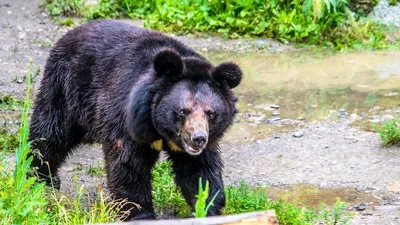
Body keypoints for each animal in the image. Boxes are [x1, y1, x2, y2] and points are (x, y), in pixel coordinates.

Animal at [28, 19, 242, 220]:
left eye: (210, 113)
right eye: (183, 111)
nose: (198, 139)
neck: (159, 130)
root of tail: (73, 31)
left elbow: (199, 171)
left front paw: (207, 208)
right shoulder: (126, 117)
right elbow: (128, 164)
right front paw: (140, 214)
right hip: (67, 88)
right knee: (51, 132)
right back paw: (41, 177)